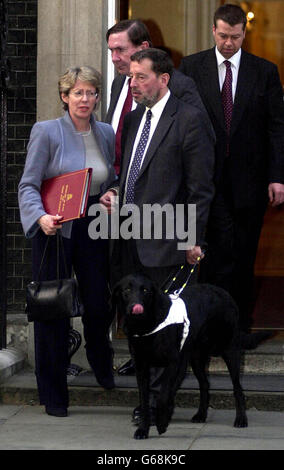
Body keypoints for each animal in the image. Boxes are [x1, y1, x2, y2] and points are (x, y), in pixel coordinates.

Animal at [113, 274, 270, 438]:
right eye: (127, 290)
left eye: (145, 290)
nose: (136, 306)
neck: (145, 326)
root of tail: (225, 293)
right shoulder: (141, 366)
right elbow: (145, 400)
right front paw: (143, 429)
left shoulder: (172, 363)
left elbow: (163, 395)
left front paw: (161, 423)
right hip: (195, 358)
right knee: (205, 384)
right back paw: (201, 415)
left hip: (230, 351)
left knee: (237, 388)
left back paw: (241, 419)